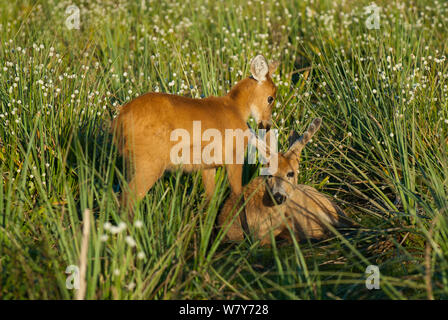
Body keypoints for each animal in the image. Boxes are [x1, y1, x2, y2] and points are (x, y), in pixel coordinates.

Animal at [112, 54, 278, 212]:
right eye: (271, 98)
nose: (266, 125)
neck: (235, 108)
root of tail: (122, 117)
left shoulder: (208, 166)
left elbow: (212, 202)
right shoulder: (234, 159)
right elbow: (238, 199)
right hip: (148, 166)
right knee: (127, 201)